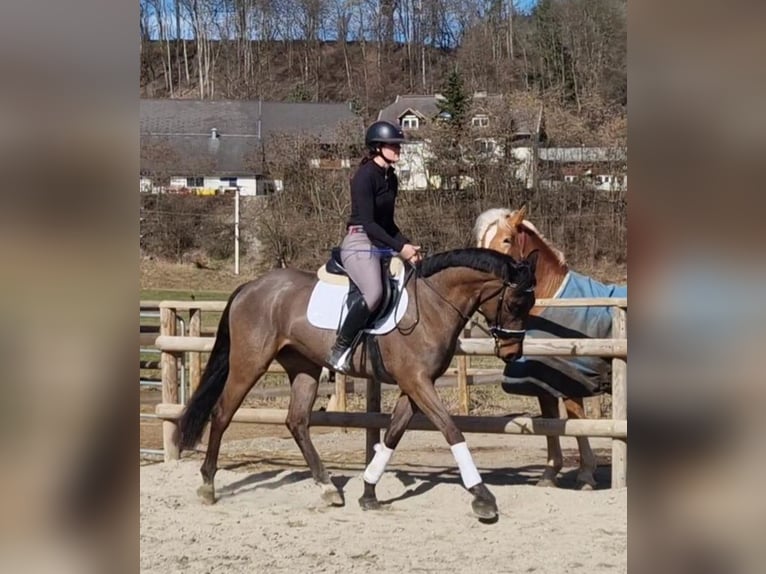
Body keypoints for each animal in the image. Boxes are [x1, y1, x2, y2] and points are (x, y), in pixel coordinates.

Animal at [175, 247, 538, 520]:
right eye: (515, 303)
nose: (511, 353)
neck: (433, 304)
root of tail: (250, 287)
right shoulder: (418, 382)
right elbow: (452, 431)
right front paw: (482, 497)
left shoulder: (414, 385)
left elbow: (392, 436)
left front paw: (368, 492)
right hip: (249, 364)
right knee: (222, 413)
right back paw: (208, 485)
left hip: (305, 367)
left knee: (297, 421)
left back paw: (327, 488)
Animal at [474, 206, 626, 489]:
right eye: (480, 243)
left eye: (507, 240)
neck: (551, 297)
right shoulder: (541, 380)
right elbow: (550, 422)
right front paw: (549, 474)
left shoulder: (570, 377)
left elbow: (576, 421)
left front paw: (586, 474)